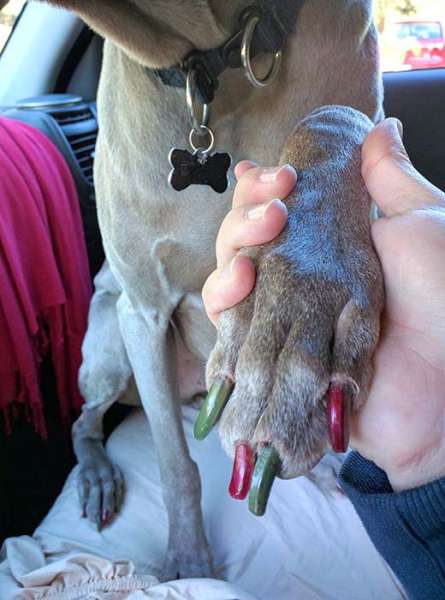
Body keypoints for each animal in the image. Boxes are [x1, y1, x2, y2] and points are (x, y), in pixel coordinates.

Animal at [32, 0, 382, 580]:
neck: (212, 67)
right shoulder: (142, 311)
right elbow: (176, 464)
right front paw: (190, 562)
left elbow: (335, 120)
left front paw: (296, 304)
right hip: (109, 345)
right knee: (84, 420)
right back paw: (98, 477)